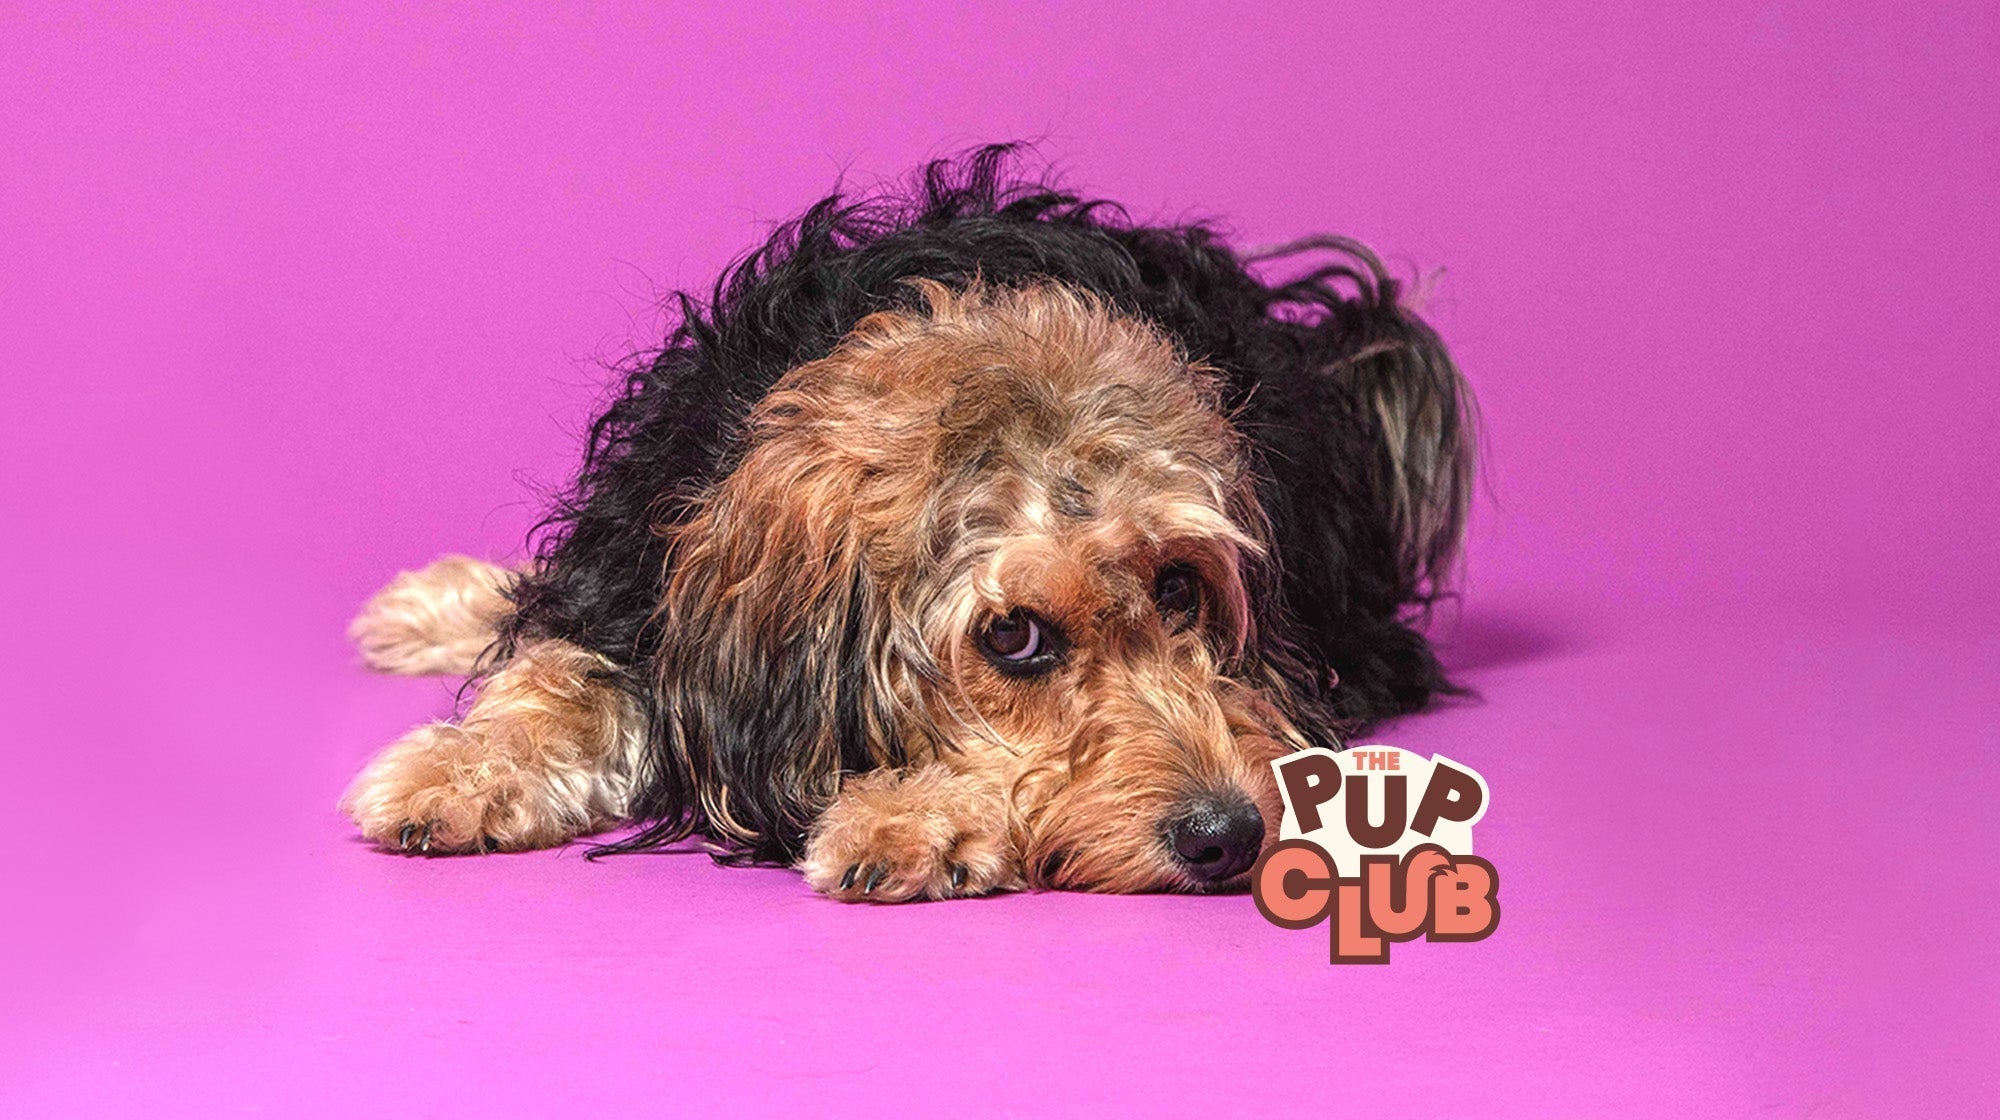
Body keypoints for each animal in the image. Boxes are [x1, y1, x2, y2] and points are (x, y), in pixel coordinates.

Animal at [340, 145, 1474, 901]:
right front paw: (460, 765)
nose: (1226, 835)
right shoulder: (630, 584)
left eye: (1180, 586)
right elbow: (555, 677)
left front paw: (912, 813)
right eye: (1012, 635)